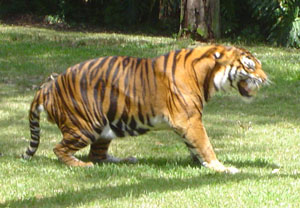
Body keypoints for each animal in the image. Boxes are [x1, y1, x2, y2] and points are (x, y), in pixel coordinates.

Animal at [22, 44, 268, 173]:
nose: (266, 79)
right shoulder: (190, 119)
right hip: (86, 125)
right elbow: (205, 144)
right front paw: (220, 167)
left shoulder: (188, 122)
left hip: (105, 128)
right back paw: (82, 165)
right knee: (60, 149)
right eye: (250, 66)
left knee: (98, 154)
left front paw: (200, 162)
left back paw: (125, 160)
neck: (207, 76)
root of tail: (47, 87)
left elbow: (195, 145)